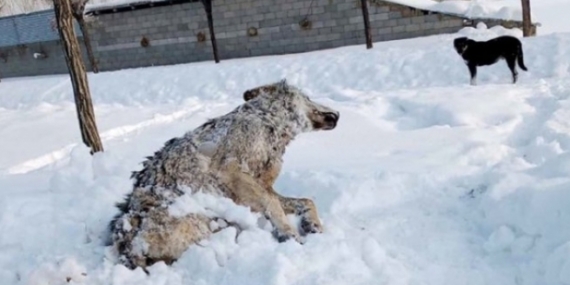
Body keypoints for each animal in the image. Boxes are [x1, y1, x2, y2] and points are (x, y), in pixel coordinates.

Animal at [107, 79, 338, 268]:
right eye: (307, 97)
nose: (337, 114)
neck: (267, 121)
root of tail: (126, 246)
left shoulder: (259, 188)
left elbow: (306, 201)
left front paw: (313, 225)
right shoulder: (231, 171)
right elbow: (273, 203)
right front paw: (289, 234)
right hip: (198, 220)